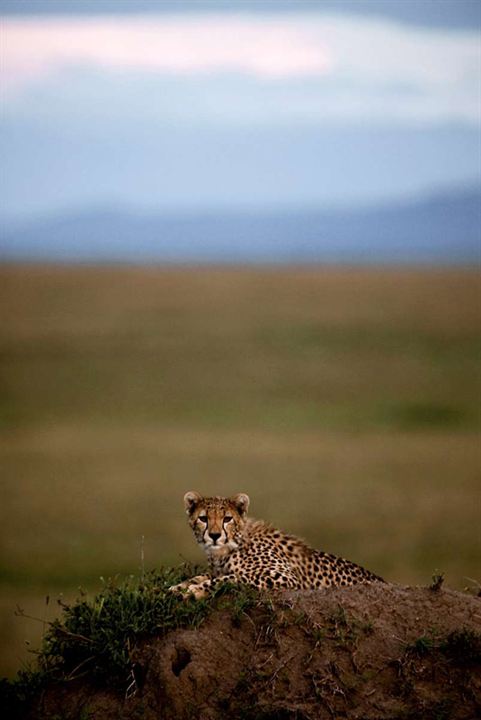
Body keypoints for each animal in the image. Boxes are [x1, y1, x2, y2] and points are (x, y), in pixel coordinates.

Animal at [169, 490, 382, 600]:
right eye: (203, 518)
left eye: (227, 519)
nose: (214, 536)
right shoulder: (216, 569)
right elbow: (201, 576)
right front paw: (178, 587)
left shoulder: (284, 577)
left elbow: (232, 578)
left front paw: (195, 590)